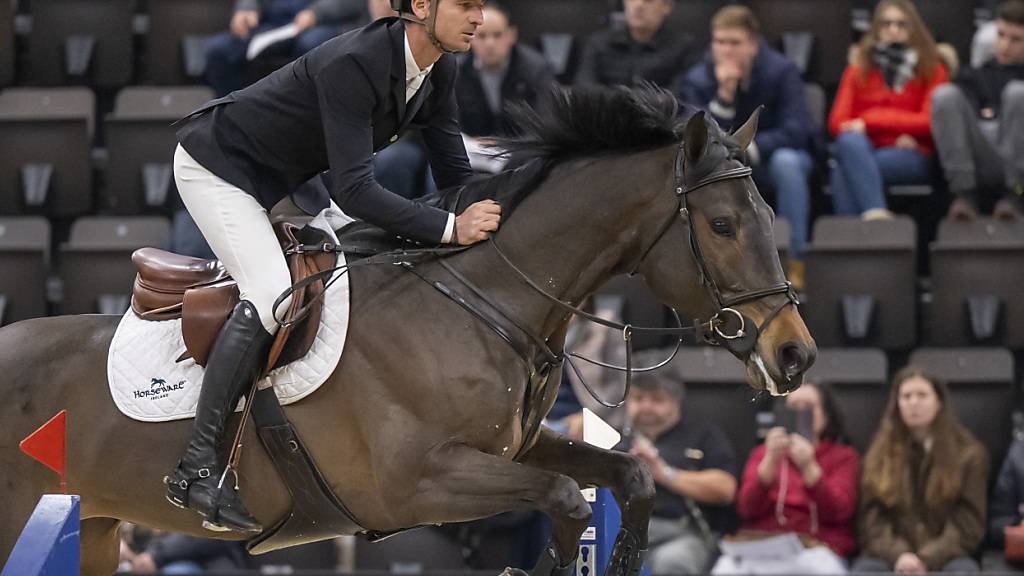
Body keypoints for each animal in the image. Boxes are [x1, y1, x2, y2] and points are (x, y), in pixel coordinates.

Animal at [0, 86, 815, 573]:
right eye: (722, 225)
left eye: (770, 216)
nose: (795, 355)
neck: (484, 301)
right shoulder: (419, 480)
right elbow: (565, 499)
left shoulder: (513, 449)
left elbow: (630, 478)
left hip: (95, 527)